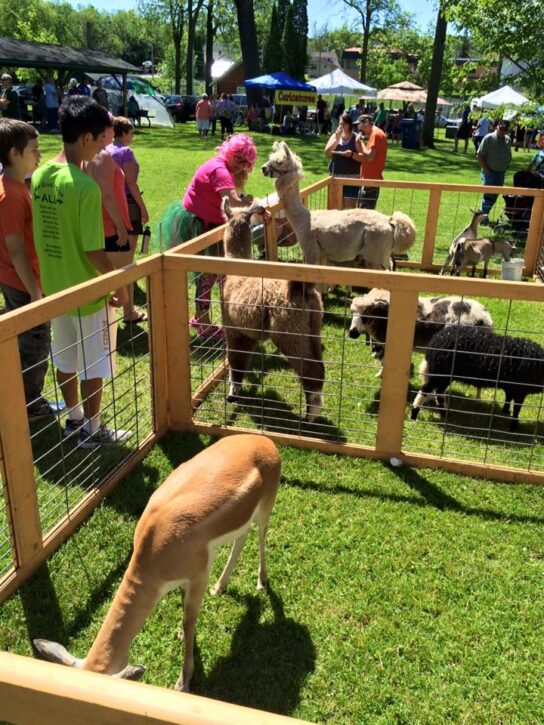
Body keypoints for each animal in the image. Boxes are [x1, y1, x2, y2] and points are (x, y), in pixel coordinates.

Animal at [33, 432, 280, 692]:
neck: (153, 549)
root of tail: (266, 442)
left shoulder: (199, 574)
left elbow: (190, 620)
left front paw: (183, 682)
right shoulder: (184, 579)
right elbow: (184, 613)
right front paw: (181, 635)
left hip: (266, 507)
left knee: (261, 535)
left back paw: (261, 583)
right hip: (243, 521)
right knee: (242, 539)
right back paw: (218, 588)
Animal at [220, 201, 324, 422]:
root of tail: (300, 289)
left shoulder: (233, 327)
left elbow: (235, 359)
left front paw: (233, 393)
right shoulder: (248, 332)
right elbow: (243, 358)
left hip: (289, 330)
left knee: (310, 370)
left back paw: (310, 416)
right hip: (313, 327)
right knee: (320, 366)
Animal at [410, 324, 544, 430]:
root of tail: (435, 340)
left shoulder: (512, 387)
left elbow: (508, 398)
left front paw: (505, 411)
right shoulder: (521, 389)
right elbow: (517, 408)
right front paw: (514, 426)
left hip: (444, 375)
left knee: (439, 392)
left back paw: (444, 414)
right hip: (440, 372)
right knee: (425, 390)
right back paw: (414, 414)